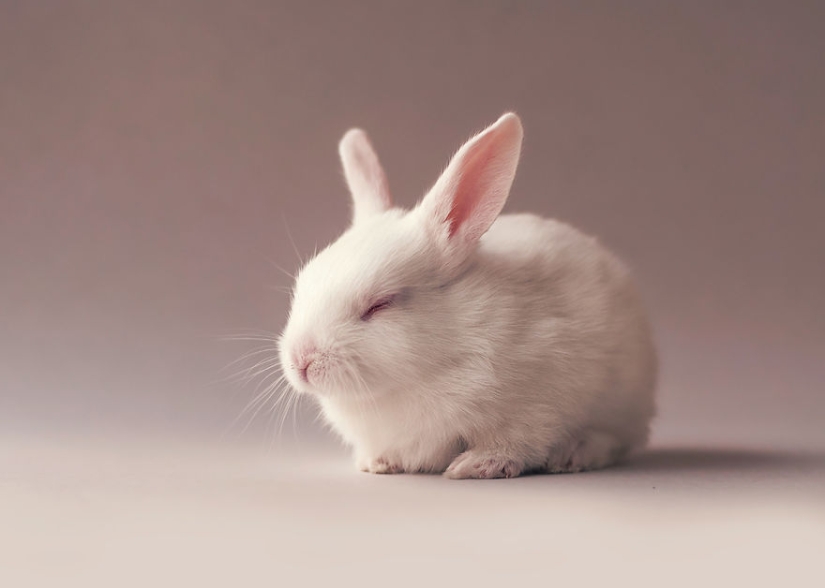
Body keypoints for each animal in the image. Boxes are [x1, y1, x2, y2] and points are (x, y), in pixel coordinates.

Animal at [278, 113, 657, 479]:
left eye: (379, 304)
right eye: (302, 285)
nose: (301, 361)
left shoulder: (534, 407)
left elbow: (514, 443)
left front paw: (475, 466)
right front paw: (377, 463)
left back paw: (573, 454)